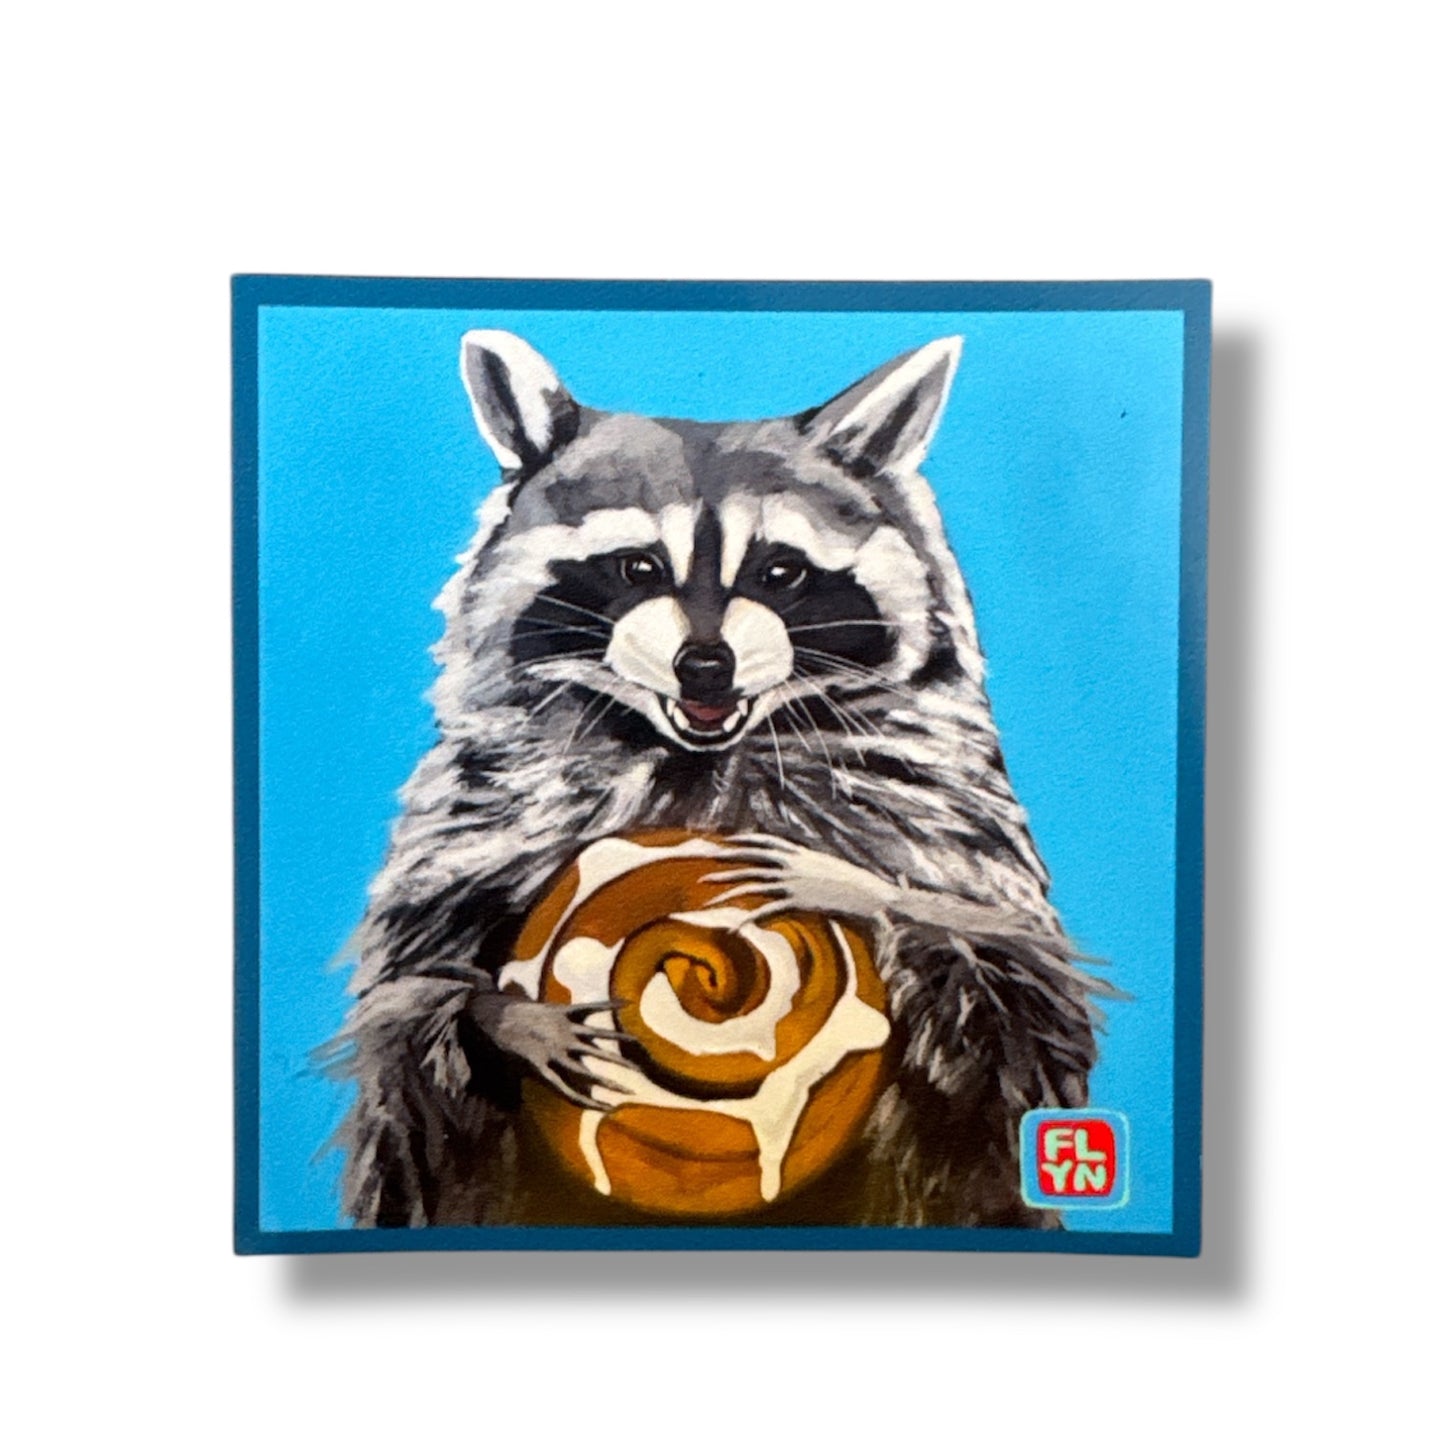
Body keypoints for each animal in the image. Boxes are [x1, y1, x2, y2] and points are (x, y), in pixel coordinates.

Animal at [326, 329, 1099, 1228]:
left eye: (779, 573)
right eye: (635, 567)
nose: (705, 664)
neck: (695, 756)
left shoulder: (943, 815)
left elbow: (1017, 1008)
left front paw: (855, 889)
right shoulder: (472, 822)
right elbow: (412, 1011)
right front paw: (510, 1018)